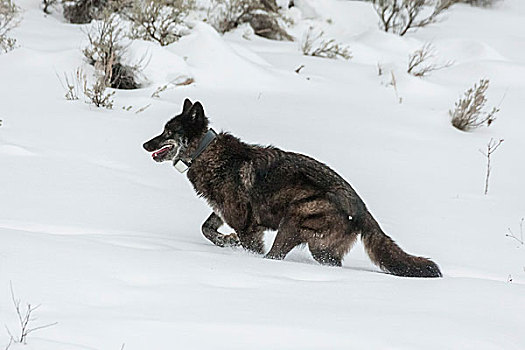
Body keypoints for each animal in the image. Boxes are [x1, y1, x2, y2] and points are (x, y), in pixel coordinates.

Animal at [143, 99, 442, 278]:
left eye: (168, 132)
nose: (145, 144)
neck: (206, 152)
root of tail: (361, 208)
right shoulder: (223, 212)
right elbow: (206, 229)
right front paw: (227, 241)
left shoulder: (246, 223)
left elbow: (246, 244)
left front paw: (235, 248)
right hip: (321, 250)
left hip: (292, 224)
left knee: (274, 256)